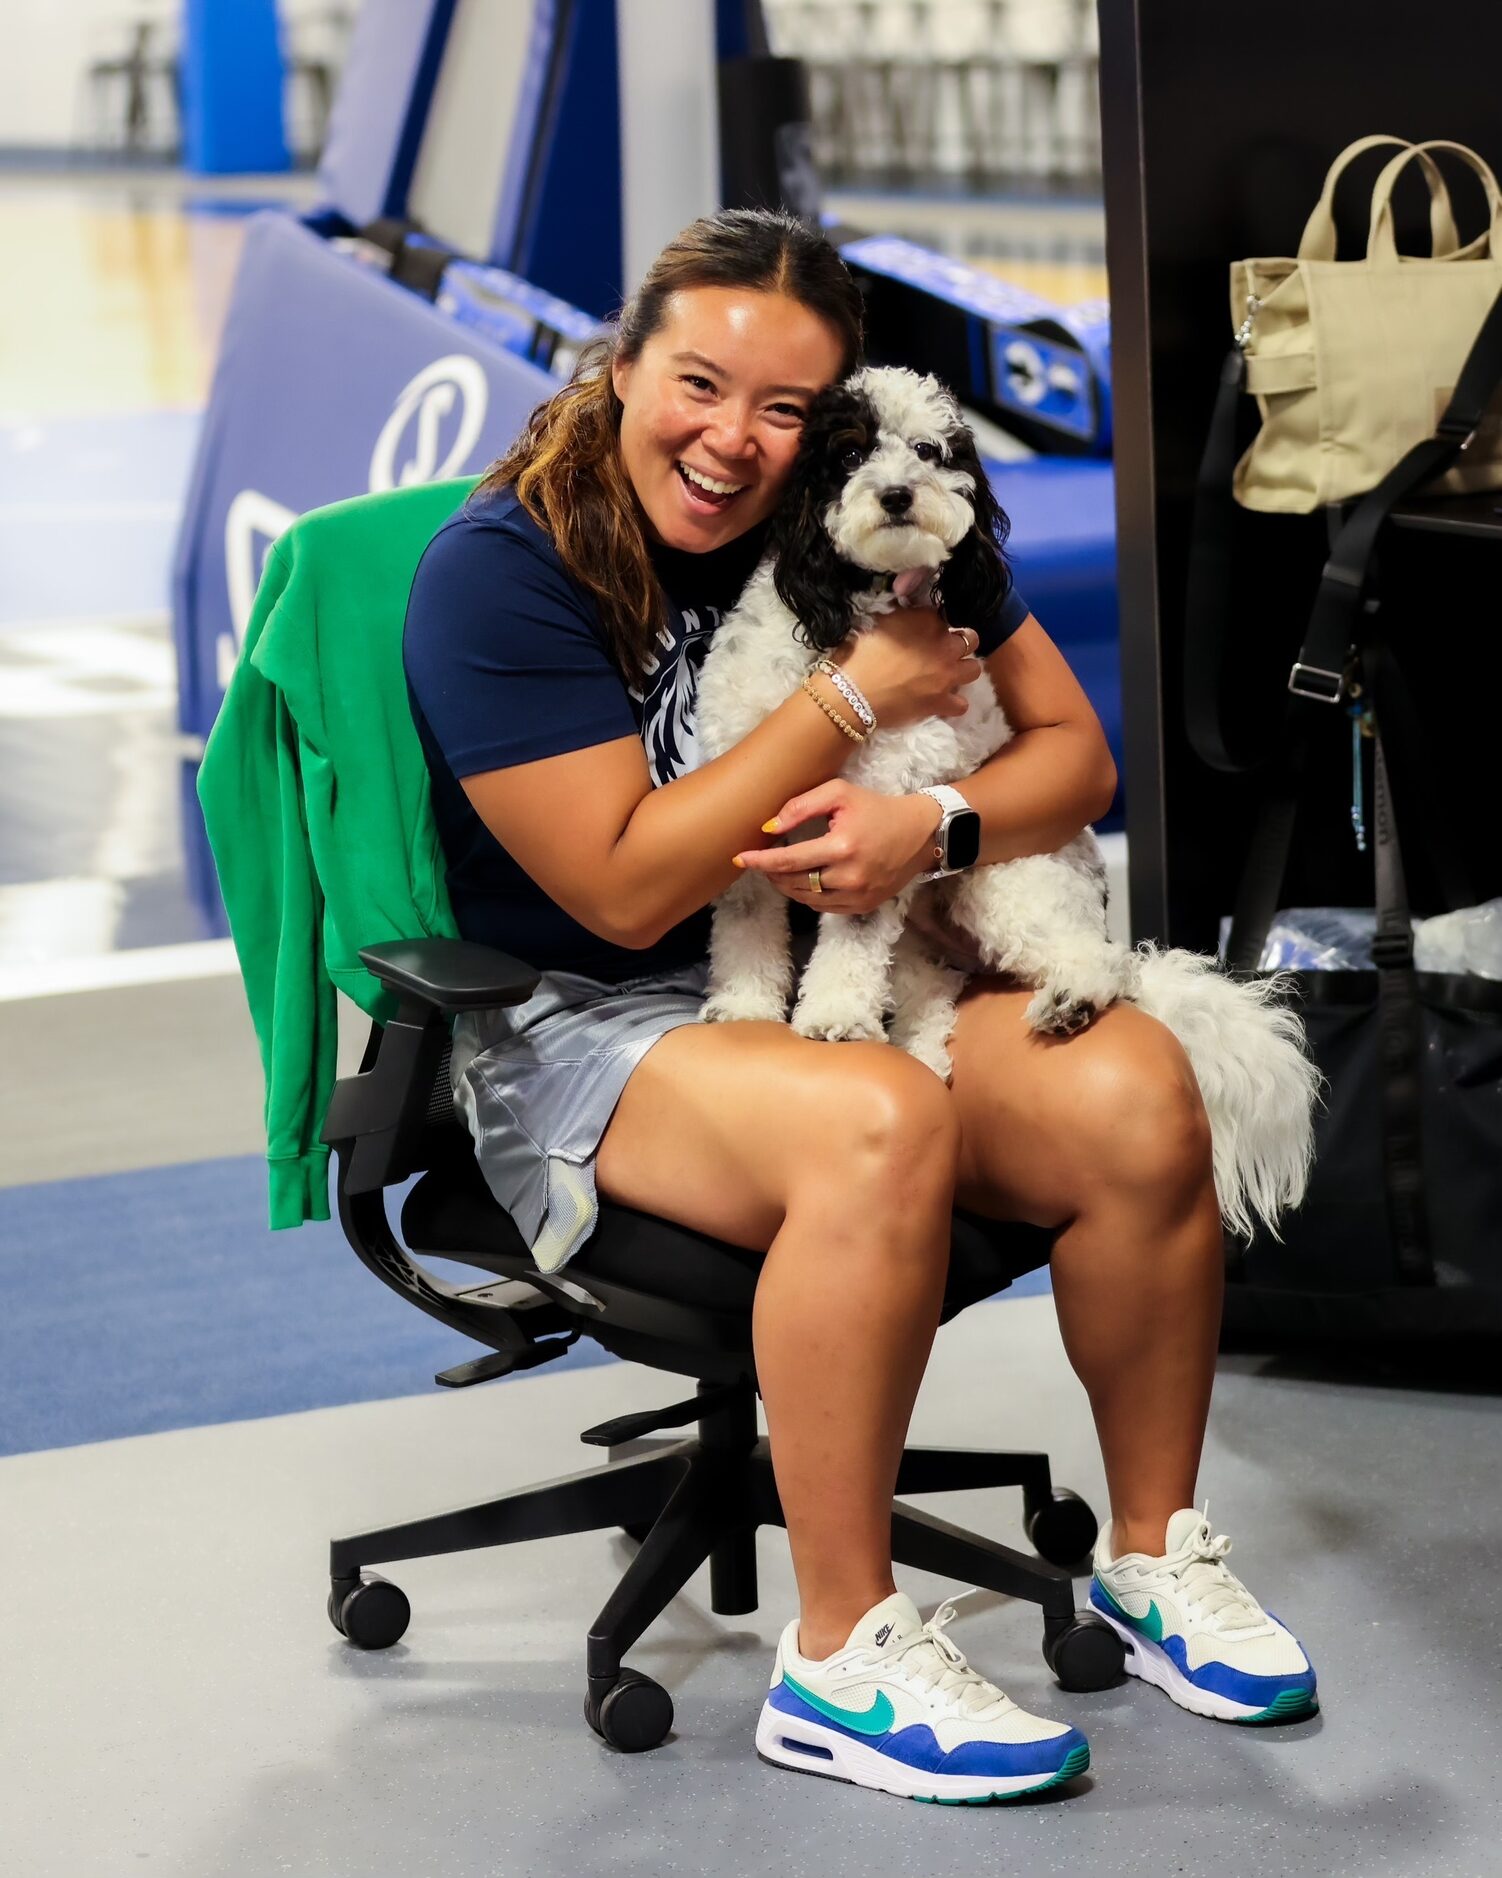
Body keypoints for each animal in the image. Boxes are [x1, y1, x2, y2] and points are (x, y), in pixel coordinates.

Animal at [690, 366, 1314, 1246]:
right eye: (847, 453)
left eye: (929, 451)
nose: (897, 494)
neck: (844, 618)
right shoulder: (746, 817)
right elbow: (746, 927)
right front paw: (746, 1007)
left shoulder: (873, 833)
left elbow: (849, 942)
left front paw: (833, 1019)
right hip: (932, 936)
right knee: (932, 1002)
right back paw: (920, 1057)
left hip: (996, 881)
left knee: (1099, 962)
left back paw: (1070, 1001)